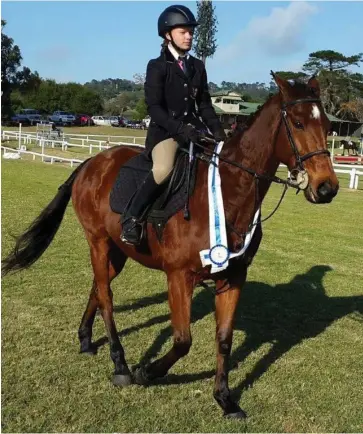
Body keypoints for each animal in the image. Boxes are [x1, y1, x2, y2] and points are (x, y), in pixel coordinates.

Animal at [1, 73, 340, 418]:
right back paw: (120, 365)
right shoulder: (179, 275)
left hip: (118, 250)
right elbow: (182, 340)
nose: (327, 188)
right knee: (106, 296)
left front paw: (225, 398)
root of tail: (92, 162)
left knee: (97, 286)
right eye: (297, 123)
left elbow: (224, 339)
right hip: (97, 241)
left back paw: (85, 340)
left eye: (328, 126)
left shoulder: (233, 277)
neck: (227, 195)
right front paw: (146, 372)